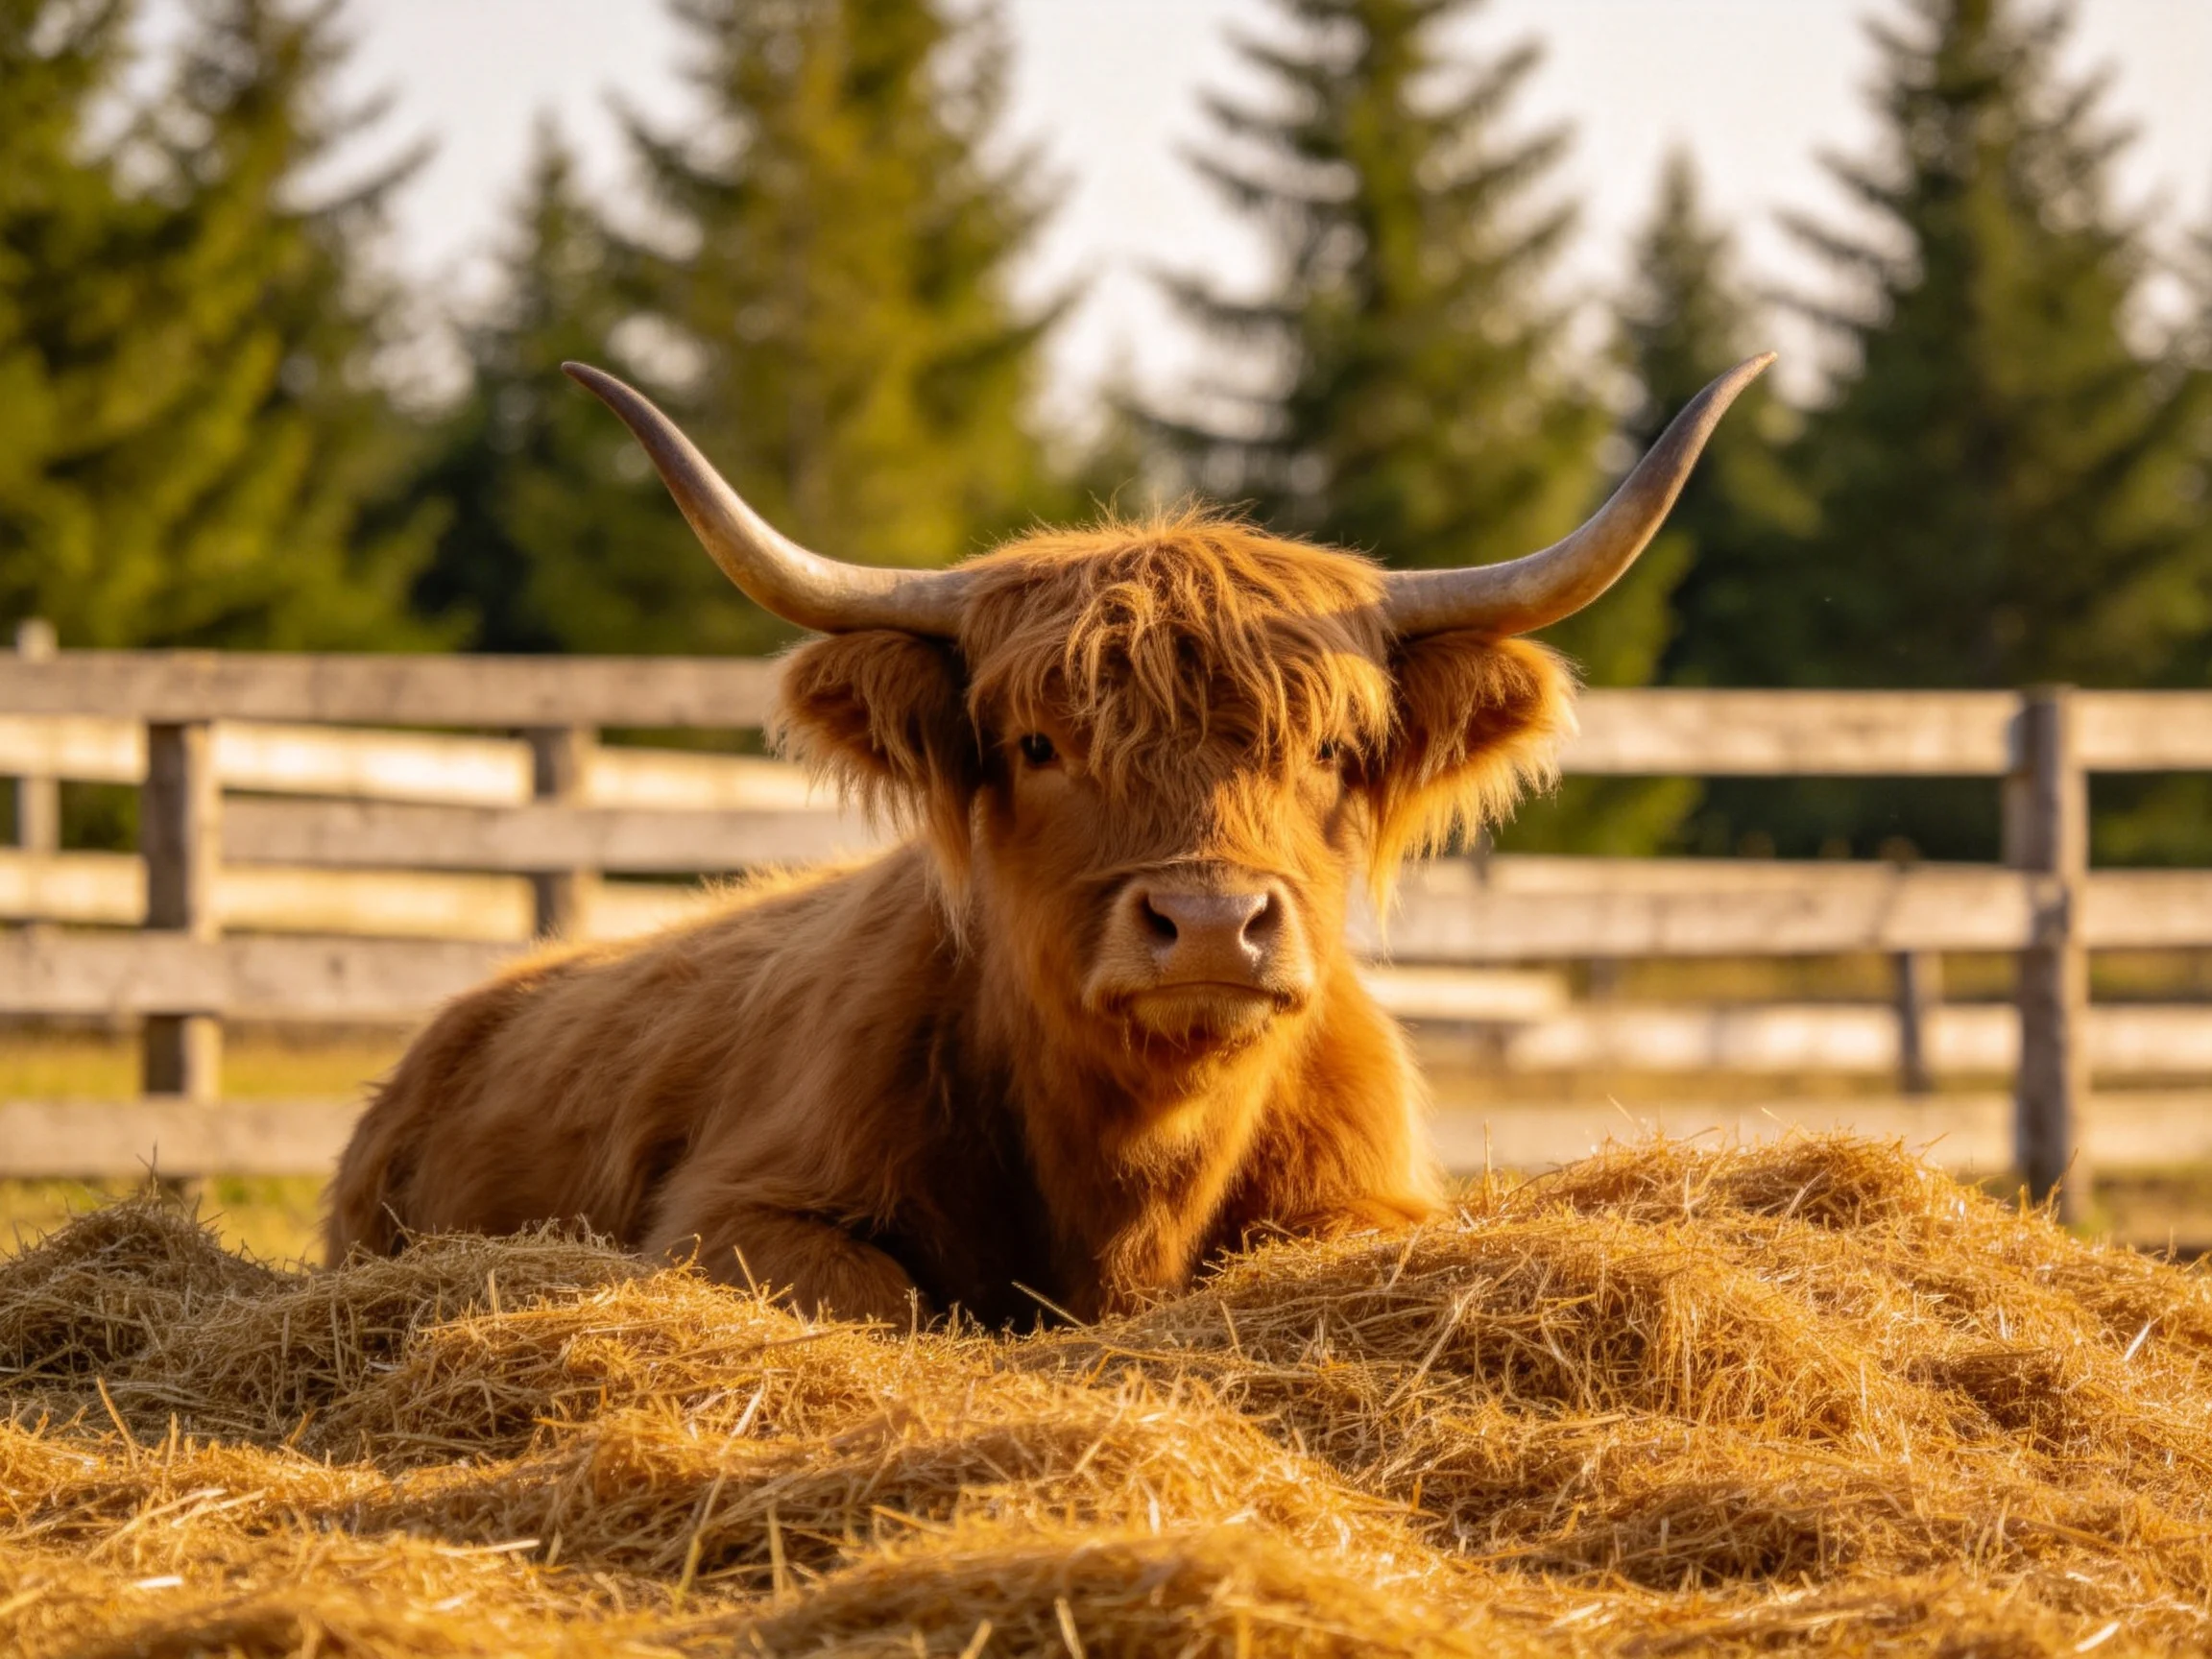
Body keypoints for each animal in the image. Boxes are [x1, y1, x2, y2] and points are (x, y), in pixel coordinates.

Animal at [326, 352, 1772, 1325]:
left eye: (1325, 749)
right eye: (1036, 745)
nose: (1210, 926)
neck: (1135, 1167)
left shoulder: (1371, 1199)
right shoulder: (742, 1208)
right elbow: (883, 1295)